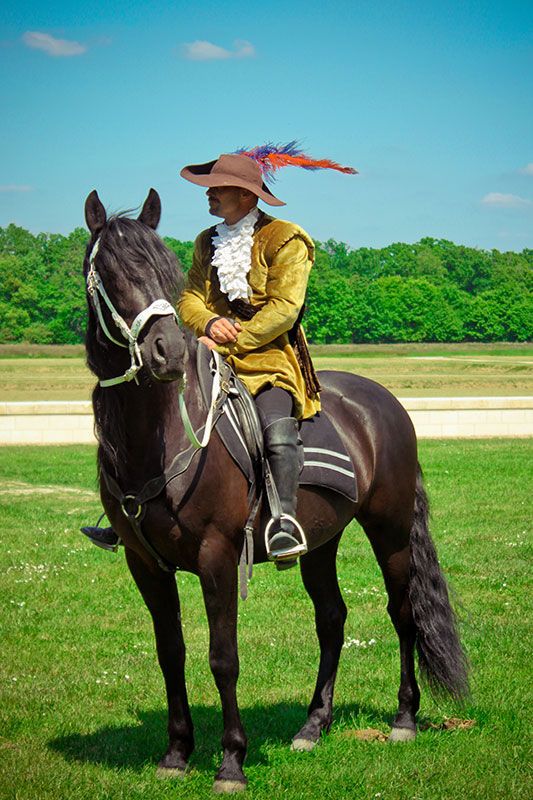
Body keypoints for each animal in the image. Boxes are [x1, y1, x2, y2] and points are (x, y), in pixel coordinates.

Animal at [82, 189, 466, 792]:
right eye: (114, 272)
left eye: (165, 271)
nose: (169, 352)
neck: (161, 434)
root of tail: (384, 402)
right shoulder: (145, 565)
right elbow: (171, 653)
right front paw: (176, 753)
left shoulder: (217, 556)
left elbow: (223, 657)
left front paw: (231, 762)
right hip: (321, 540)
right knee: (332, 619)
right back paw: (313, 725)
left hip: (391, 531)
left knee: (403, 611)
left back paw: (404, 719)